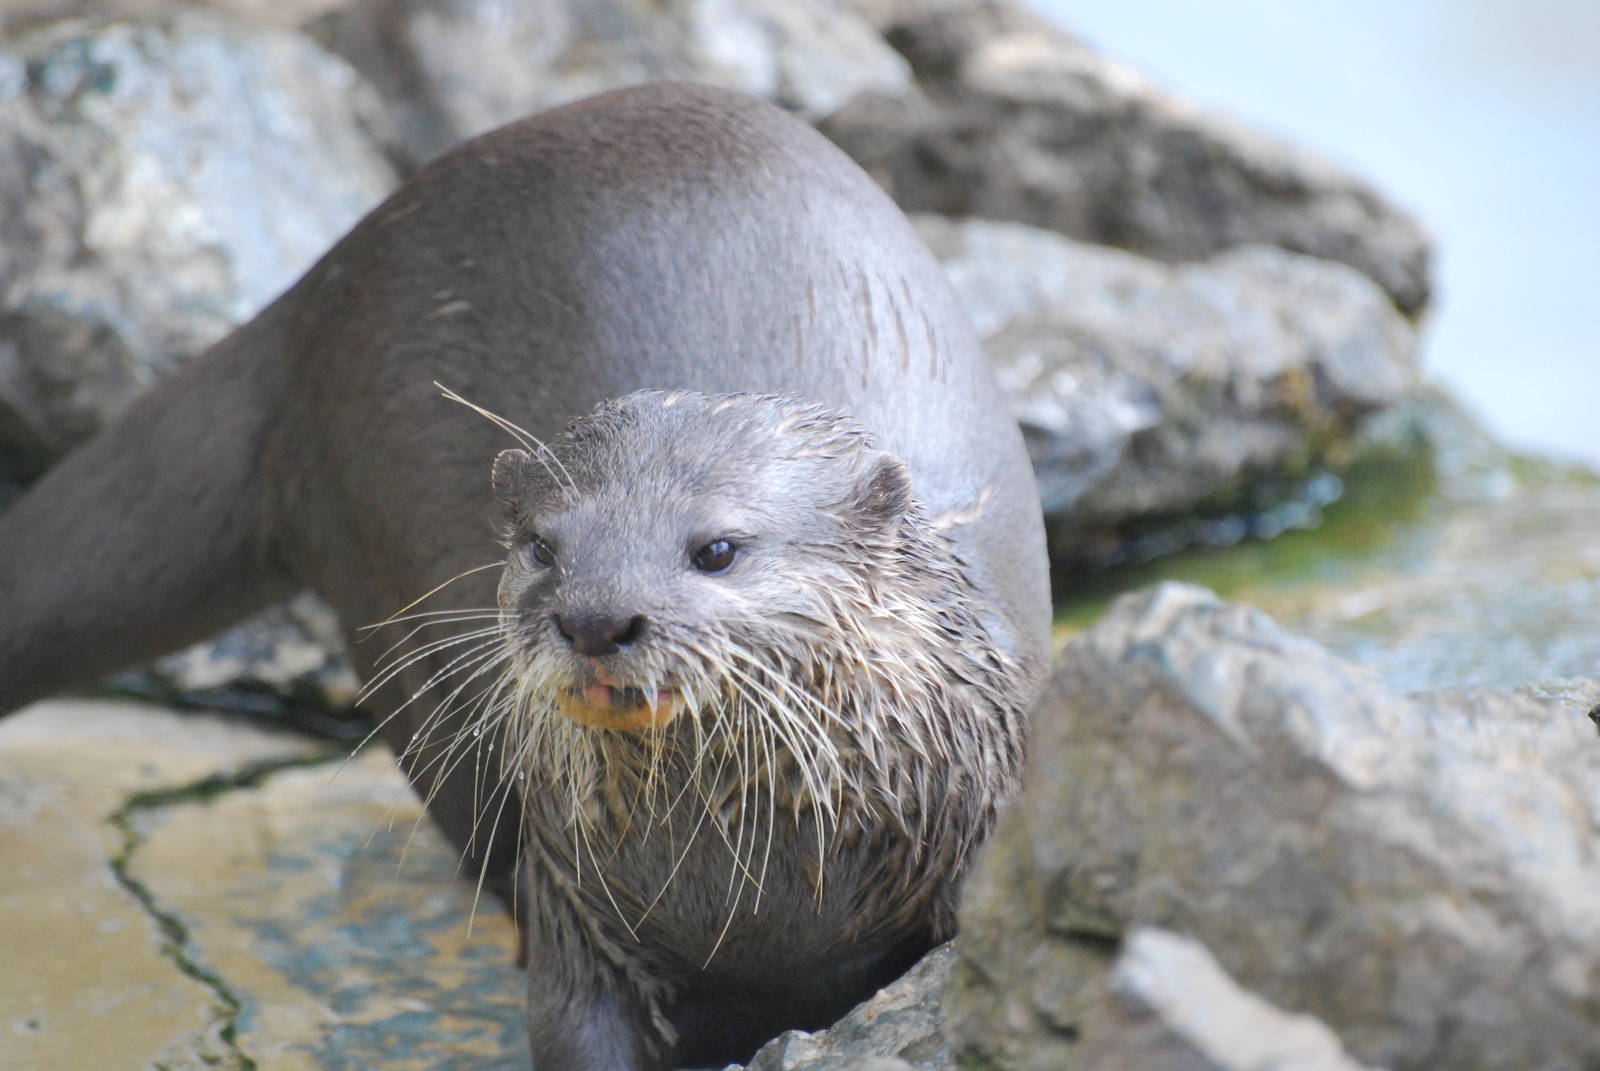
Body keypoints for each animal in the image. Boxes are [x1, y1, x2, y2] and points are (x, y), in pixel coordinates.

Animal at [0, 84, 1049, 1069]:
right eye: (544, 545)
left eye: (715, 549)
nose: (595, 618)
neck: (761, 909)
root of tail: (321, 291)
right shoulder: (576, 907)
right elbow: (570, 1024)